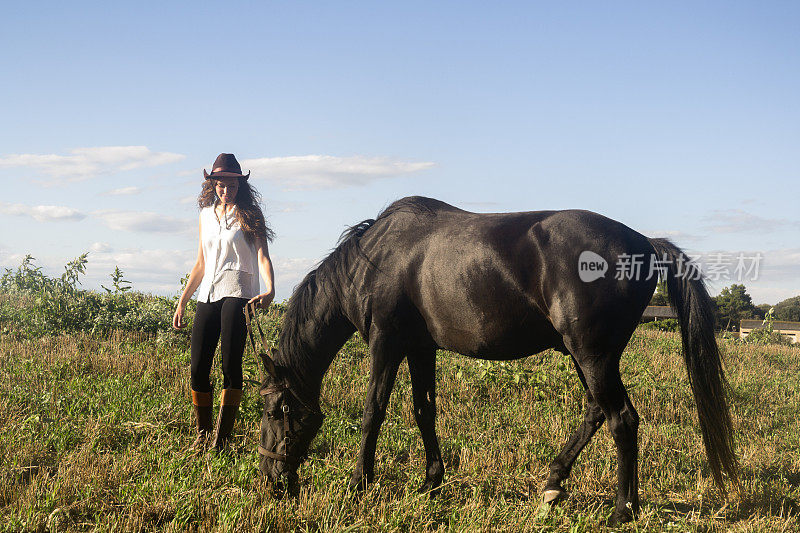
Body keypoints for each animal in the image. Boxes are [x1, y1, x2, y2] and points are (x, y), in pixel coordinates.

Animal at [258, 196, 736, 524]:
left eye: (275, 411)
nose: (272, 480)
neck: (373, 258)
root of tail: (645, 245)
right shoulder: (420, 348)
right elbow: (423, 410)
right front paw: (431, 482)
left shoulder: (386, 342)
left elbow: (372, 411)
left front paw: (358, 485)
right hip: (586, 357)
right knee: (597, 412)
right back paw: (554, 485)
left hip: (593, 356)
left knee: (622, 419)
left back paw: (622, 510)